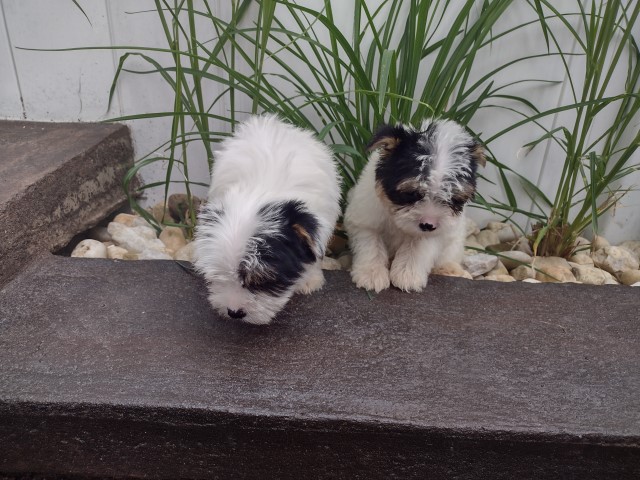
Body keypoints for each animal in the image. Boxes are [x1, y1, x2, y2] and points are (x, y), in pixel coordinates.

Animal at [344, 119, 484, 292]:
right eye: (411, 193)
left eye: (453, 199)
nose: (428, 224)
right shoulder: (364, 219)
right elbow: (371, 243)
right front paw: (372, 273)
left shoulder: (437, 233)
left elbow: (418, 247)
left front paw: (407, 274)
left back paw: (449, 268)